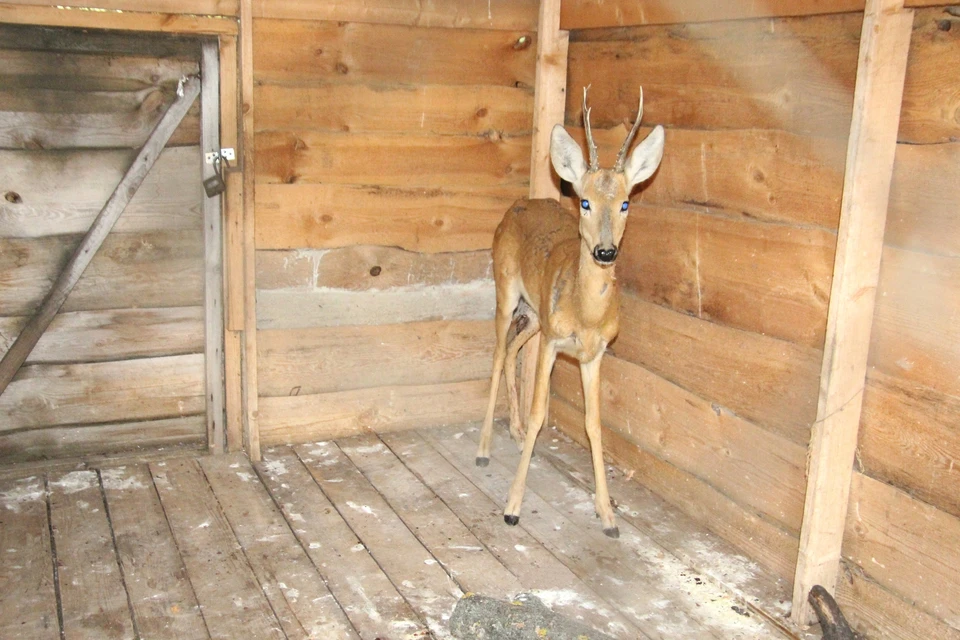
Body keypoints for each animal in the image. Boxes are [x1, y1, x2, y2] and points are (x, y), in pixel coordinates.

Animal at [474, 87, 668, 536]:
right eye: (584, 201)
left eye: (626, 203)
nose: (605, 251)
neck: (587, 316)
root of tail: (517, 204)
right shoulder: (553, 342)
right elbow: (540, 411)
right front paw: (512, 506)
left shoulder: (594, 353)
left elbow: (593, 424)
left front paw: (608, 514)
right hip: (506, 291)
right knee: (497, 353)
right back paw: (484, 448)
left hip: (534, 314)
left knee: (512, 351)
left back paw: (514, 432)